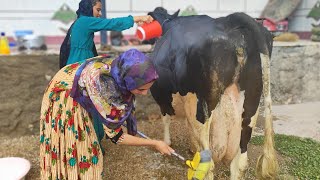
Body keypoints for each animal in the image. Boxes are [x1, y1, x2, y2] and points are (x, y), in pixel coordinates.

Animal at [149, 7, 278, 179]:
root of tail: (230, 21)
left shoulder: (163, 98)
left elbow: (166, 120)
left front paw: (167, 144)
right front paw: (192, 148)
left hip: (202, 109)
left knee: (208, 165)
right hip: (250, 108)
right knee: (240, 164)